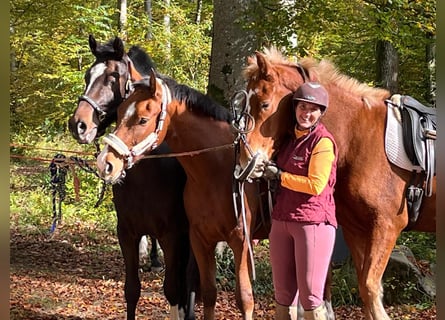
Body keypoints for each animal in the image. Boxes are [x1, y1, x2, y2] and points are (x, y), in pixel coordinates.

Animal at [66, 35, 198, 320]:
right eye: (87, 75)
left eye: (113, 77)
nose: (78, 125)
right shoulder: (126, 233)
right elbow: (131, 290)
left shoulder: (173, 236)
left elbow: (174, 291)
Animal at [234, 47, 436, 320]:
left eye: (264, 104)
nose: (246, 162)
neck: (359, 138)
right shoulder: (356, 228)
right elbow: (365, 289)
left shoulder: (387, 226)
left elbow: (371, 289)